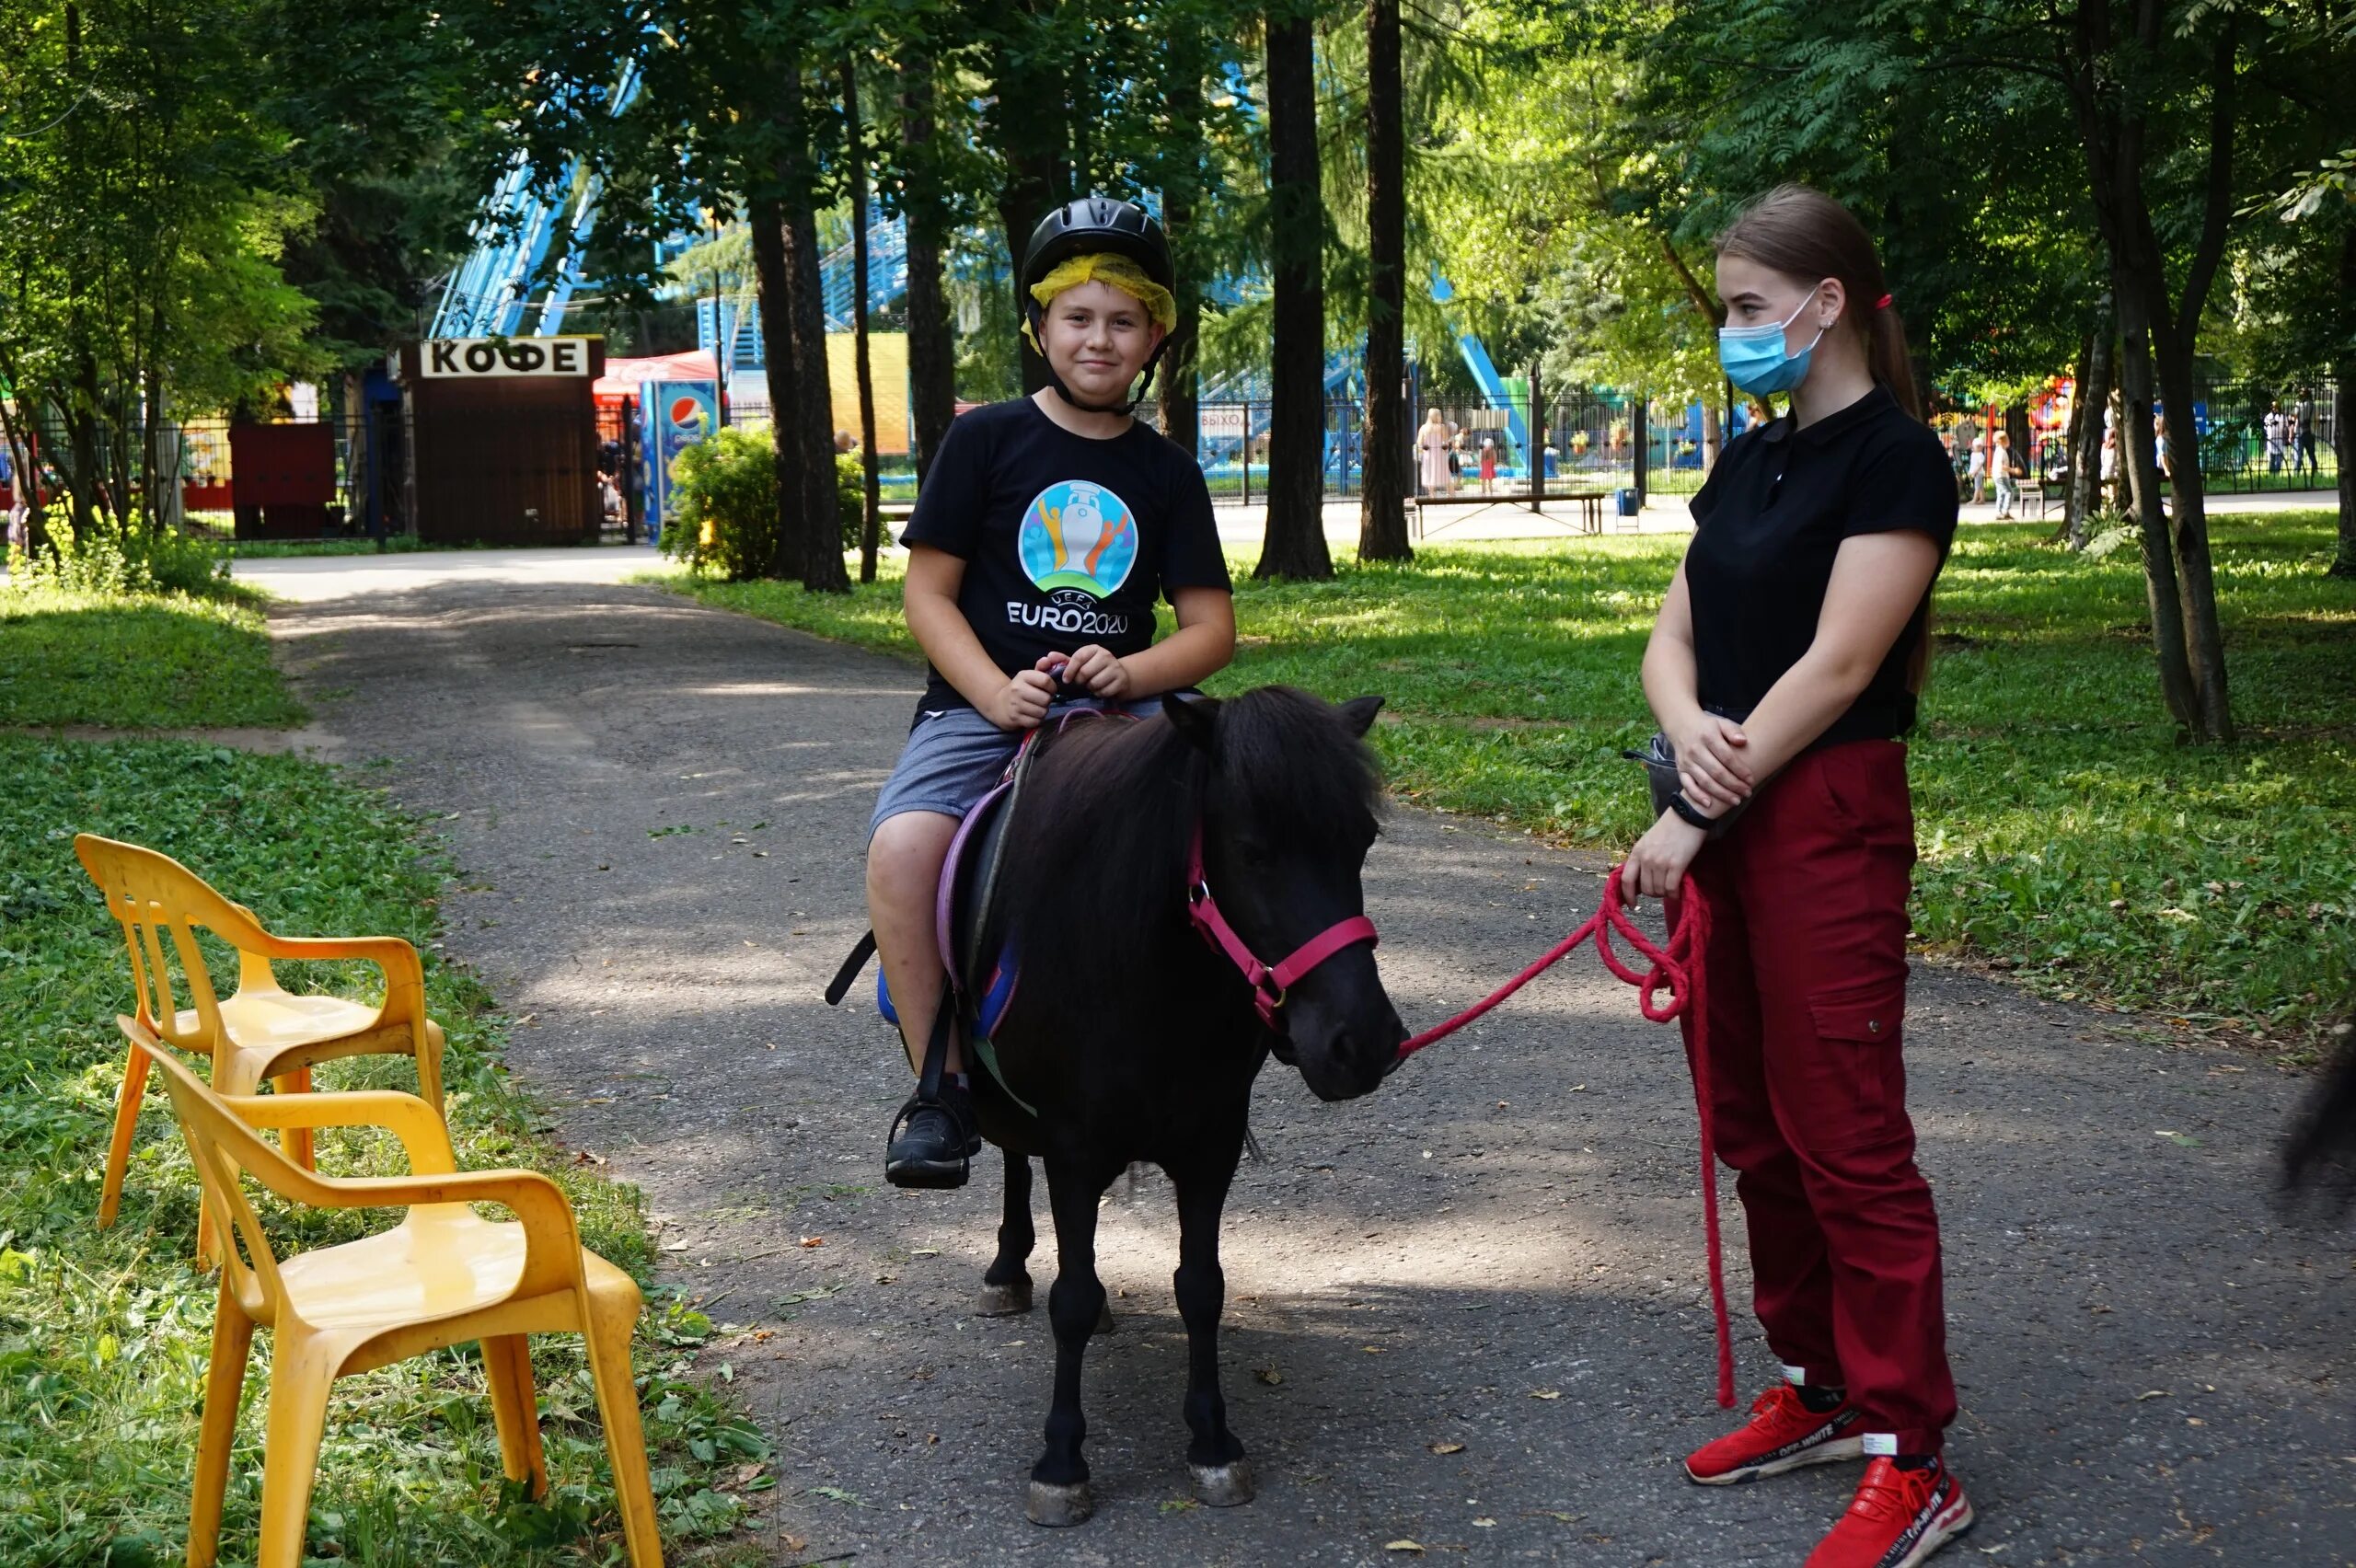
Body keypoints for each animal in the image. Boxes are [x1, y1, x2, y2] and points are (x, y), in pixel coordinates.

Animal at [956, 682, 1394, 1516]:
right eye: (1254, 851)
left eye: (1362, 844)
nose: (1364, 1043)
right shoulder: (1073, 1148)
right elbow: (1071, 1297)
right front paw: (1061, 1460)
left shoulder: (1210, 1144)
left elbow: (1201, 1288)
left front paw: (1213, 1441)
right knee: (1013, 1160)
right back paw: (1005, 1268)